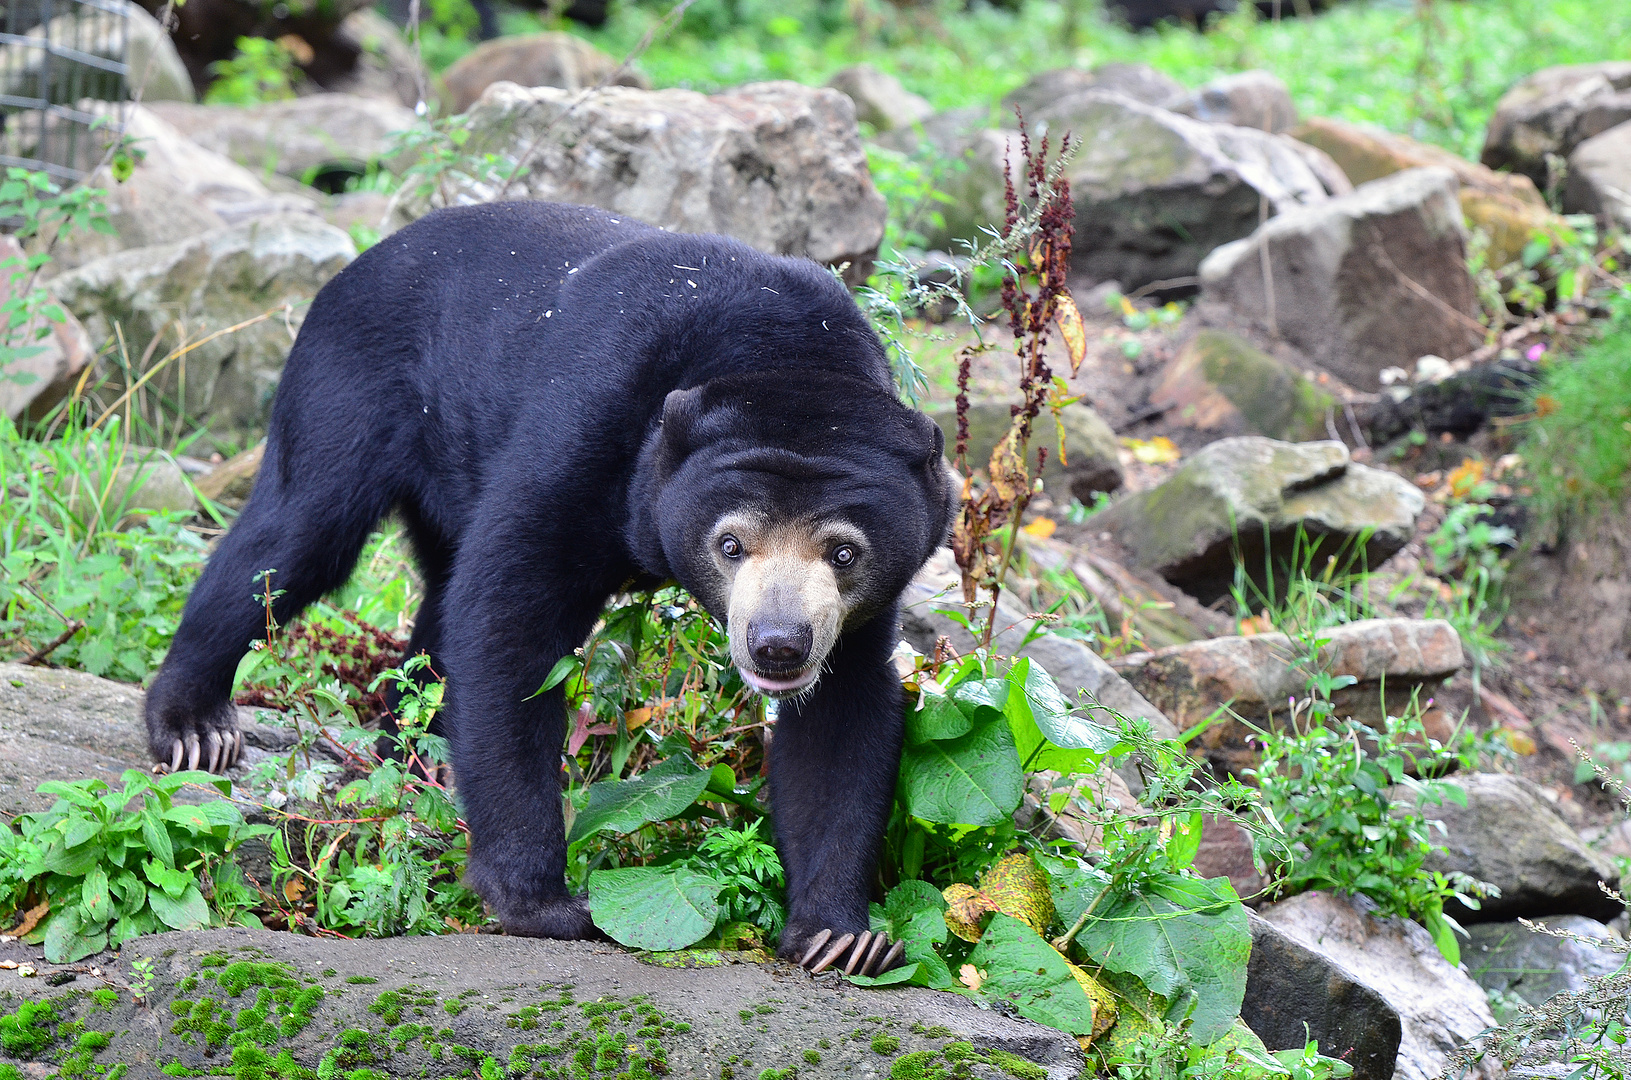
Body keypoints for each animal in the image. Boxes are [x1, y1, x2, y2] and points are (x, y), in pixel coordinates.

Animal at [146, 199, 959, 978]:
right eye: (729, 544)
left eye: (844, 552)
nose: (778, 647)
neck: (783, 353)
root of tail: (361, 259)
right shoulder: (592, 419)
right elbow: (509, 614)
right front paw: (542, 903)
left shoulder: (856, 612)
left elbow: (843, 714)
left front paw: (842, 941)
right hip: (350, 383)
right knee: (295, 537)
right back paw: (195, 728)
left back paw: (416, 756)